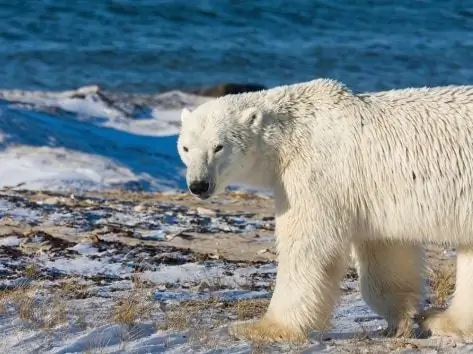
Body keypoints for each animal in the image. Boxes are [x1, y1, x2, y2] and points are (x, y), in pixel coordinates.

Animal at [177, 79, 473, 342]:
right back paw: (445, 321)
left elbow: (308, 244)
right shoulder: (372, 194)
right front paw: (403, 316)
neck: (290, 135)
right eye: (186, 147)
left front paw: (262, 327)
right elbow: (384, 248)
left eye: (218, 146)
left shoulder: (316, 172)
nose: (198, 185)